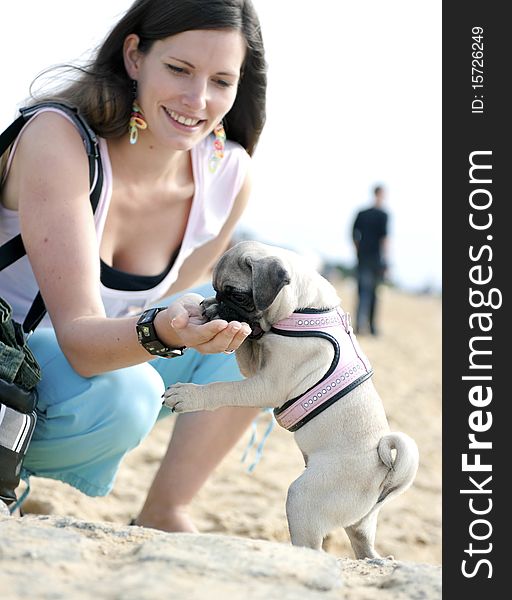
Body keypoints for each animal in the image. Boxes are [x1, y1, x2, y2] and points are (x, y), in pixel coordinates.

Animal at [164, 239, 420, 556]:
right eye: (217, 290)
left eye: (238, 295)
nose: (220, 303)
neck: (301, 308)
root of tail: (384, 473)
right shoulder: (255, 366)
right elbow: (244, 344)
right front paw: (212, 309)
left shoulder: (269, 384)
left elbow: (222, 388)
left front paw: (188, 394)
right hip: (359, 521)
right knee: (364, 546)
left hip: (304, 497)